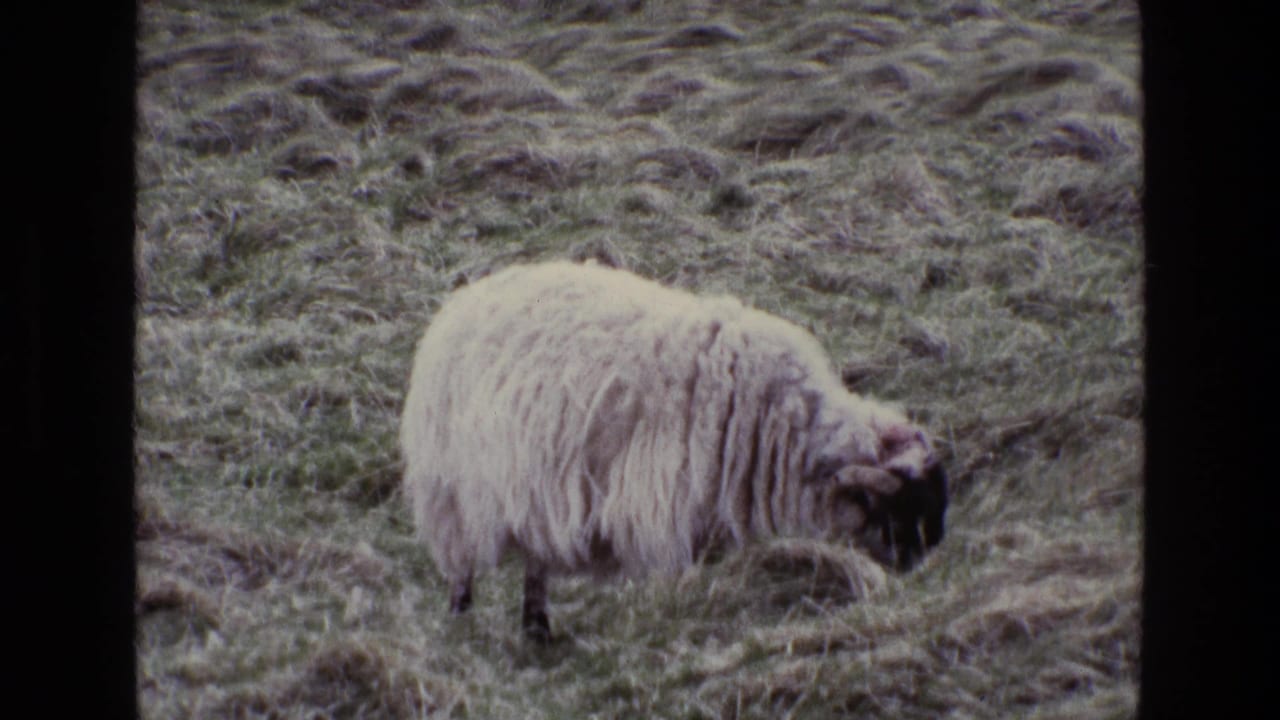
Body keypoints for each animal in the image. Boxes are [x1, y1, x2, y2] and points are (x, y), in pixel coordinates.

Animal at [400, 260, 948, 641]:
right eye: (900, 512)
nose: (928, 571)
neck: (776, 417)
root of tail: (462, 299)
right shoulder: (665, 505)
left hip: (530, 490)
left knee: (535, 562)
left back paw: (537, 631)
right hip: (448, 490)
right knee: (460, 565)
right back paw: (462, 622)